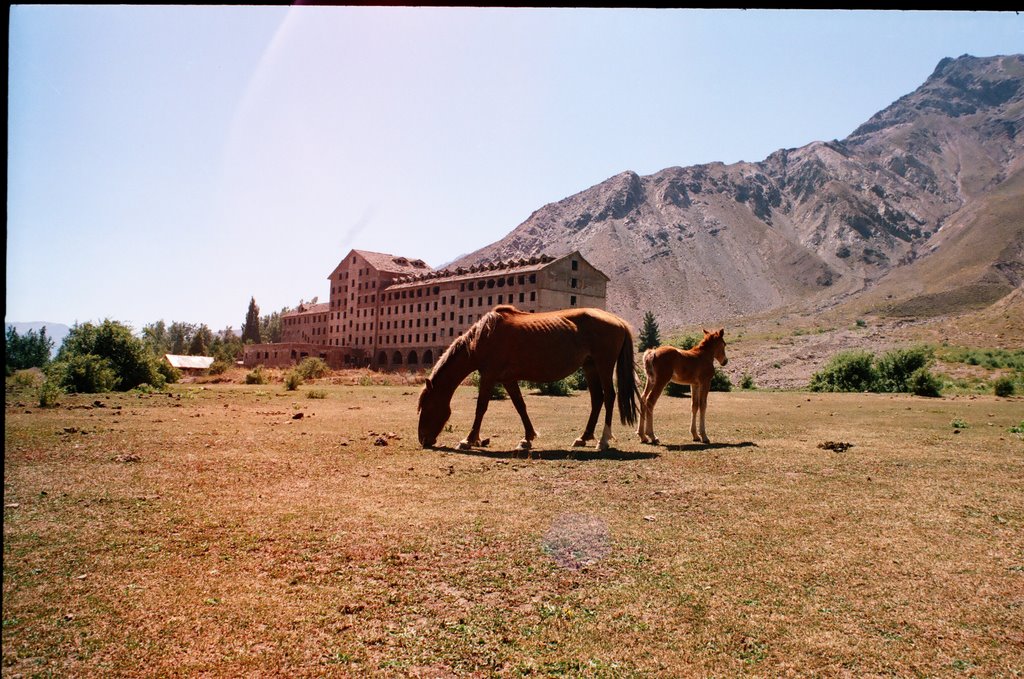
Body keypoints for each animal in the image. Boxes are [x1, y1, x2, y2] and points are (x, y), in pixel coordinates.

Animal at [419, 307, 634, 454]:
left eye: (427, 407)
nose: (423, 440)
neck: (484, 338)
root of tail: (618, 321)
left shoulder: (489, 376)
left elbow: (481, 407)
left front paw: (468, 440)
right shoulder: (508, 380)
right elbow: (520, 406)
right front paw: (527, 439)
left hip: (604, 365)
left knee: (609, 397)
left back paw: (603, 440)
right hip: (590, 367)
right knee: (597, 399)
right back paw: (583, 437)